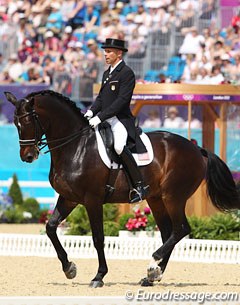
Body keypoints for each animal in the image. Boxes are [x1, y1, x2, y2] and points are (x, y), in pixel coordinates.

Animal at [4, 90, 239, 288]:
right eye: (15, 123)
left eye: (28, 120)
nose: (28, 156)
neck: (76, 146)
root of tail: (197, 149)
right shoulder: (69, 198)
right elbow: (51, 228)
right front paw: (69, 268)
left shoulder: (92, 200)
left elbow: (98, 238)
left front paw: (99, 276)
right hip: (156, 199)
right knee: (168, 232)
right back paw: (152, 275)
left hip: (174, 196)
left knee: (180, 229)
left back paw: (153, 263)